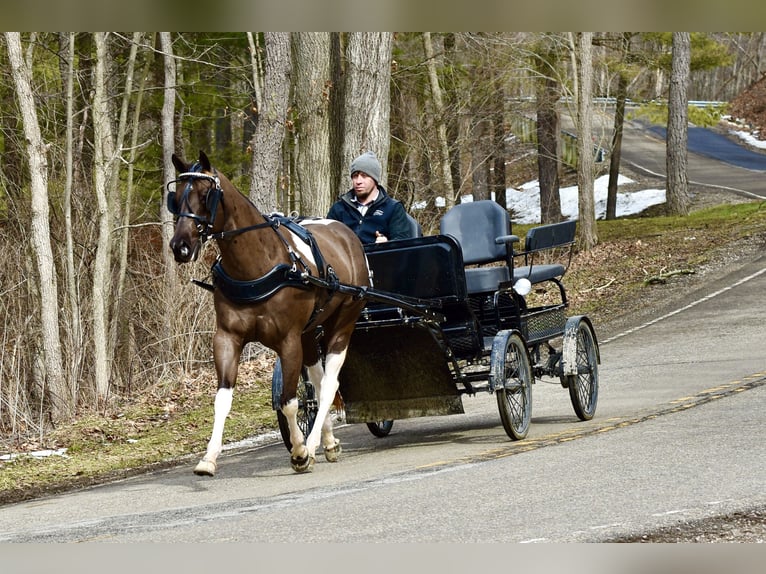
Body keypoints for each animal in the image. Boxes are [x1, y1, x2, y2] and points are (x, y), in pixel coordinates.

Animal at [167, 150, 369, 475]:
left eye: (205, 194)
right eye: (175, 197)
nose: (180, 246)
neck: (256, 267)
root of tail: (345, 233)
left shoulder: (288, 341)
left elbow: (288, 401)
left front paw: (300, 451)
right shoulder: (227, 338)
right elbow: (222, 399)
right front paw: (208, 458)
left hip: (344, 322)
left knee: (328, 386)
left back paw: (313, 443)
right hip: (310, 332)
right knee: (316, 381)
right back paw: (328, 442)